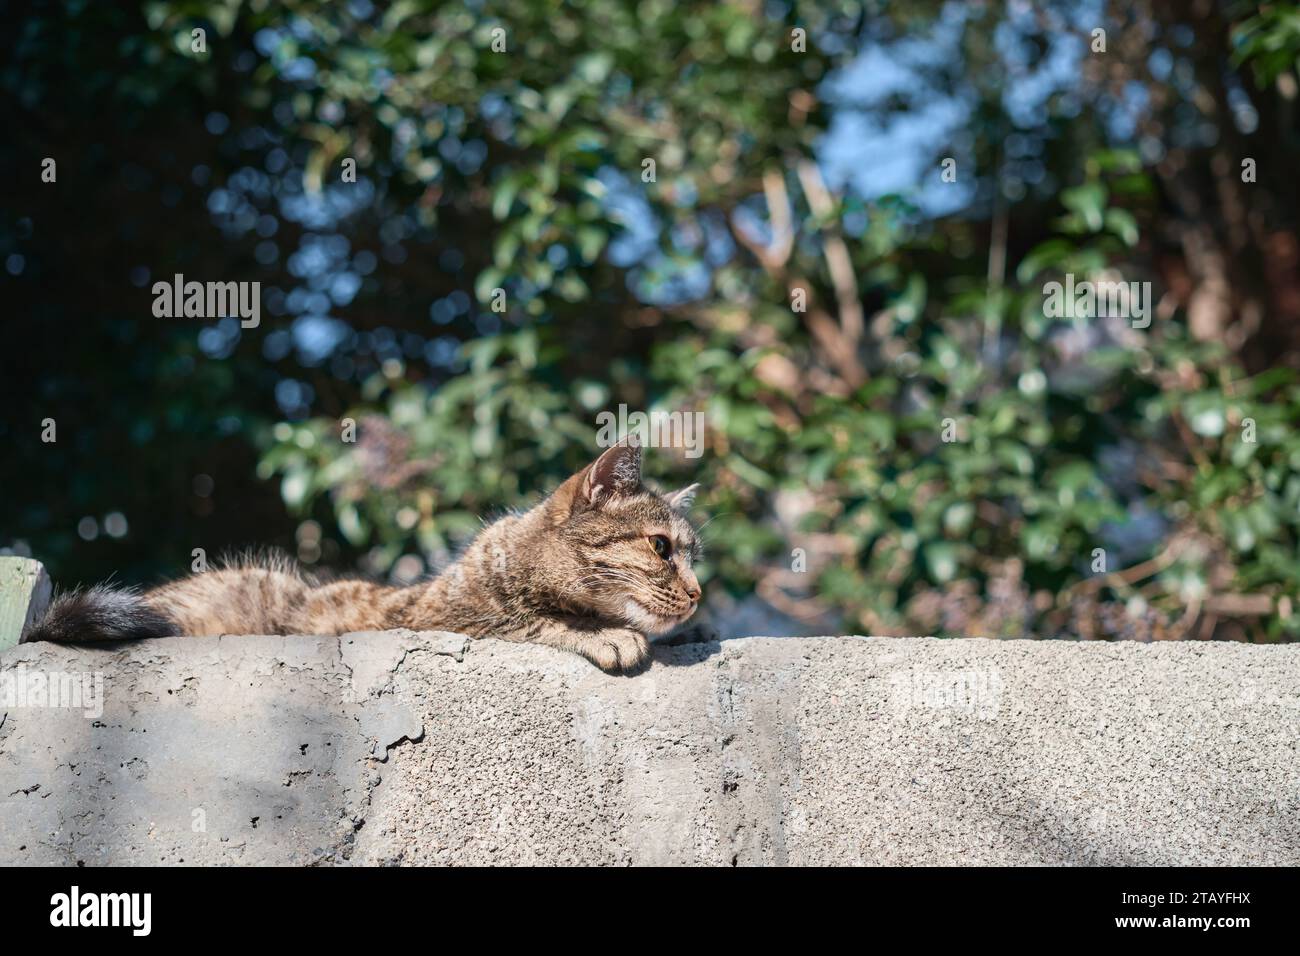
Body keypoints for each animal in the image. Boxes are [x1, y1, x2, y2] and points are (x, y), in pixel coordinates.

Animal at [20, 442, 712, 671]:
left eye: (692, 556)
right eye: (661, 548)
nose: (699, 594)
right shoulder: (445, 620)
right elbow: (536, 622)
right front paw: (604, 634)